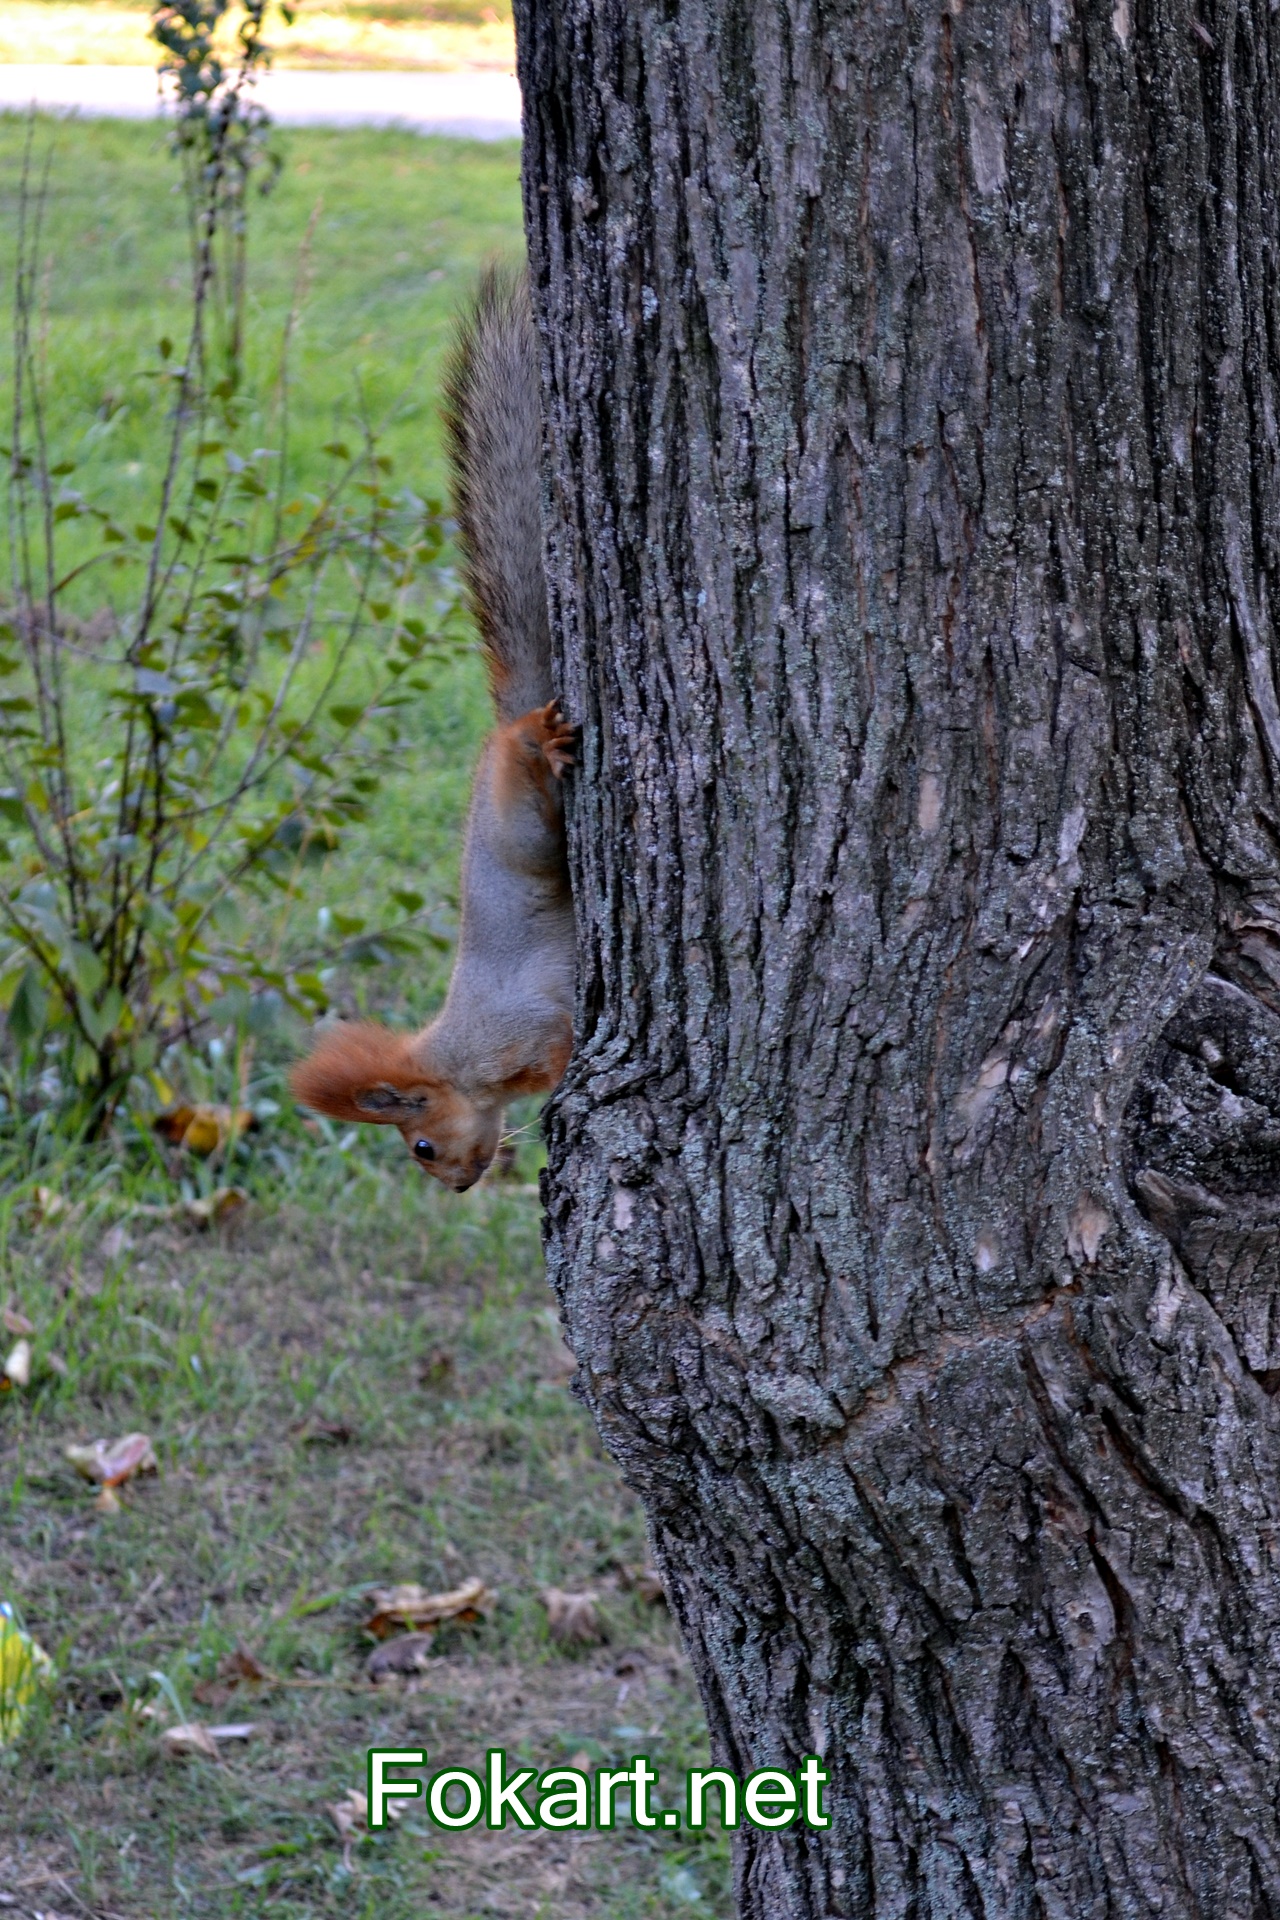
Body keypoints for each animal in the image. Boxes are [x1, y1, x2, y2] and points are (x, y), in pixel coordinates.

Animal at [288, 268, 574, 1192]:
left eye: (418, 1144)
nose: (456, 1185)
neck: (460, 1059)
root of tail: (499, 730)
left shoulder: (520, 1032)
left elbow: (560, 1051)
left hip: (521, 823)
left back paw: (542, 740)